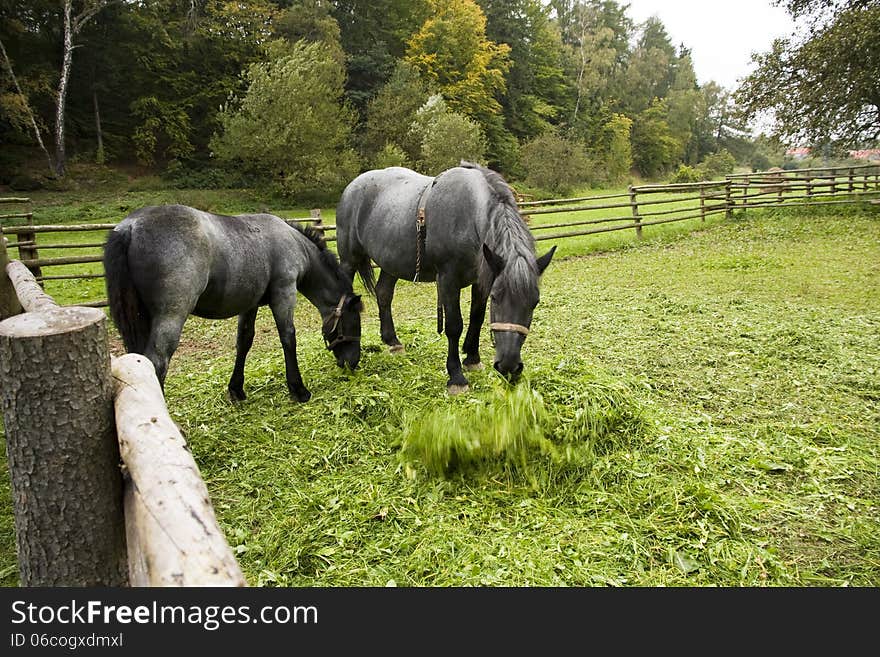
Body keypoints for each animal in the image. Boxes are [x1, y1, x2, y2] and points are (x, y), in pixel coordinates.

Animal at [103, 204, 360, 400]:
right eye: (354, 322)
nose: (353, 362)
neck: (293, 242)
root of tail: (130, 227)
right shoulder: (284, 293)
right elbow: (288, 338)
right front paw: (298, 389)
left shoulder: (250, 304)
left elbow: (244, 341)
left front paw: (236, 389)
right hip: (170, 316)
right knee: (157, 362)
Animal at [336, 161, 556, 392]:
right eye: (496, 298)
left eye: (535, 302)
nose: (509, 366)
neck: (468, 216)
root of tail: (352, 187)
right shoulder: (448, 280)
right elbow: (454, 326)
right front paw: (456, 377)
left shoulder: (481, 279)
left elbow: (476, 317)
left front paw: (472, 359)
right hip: (349, 260)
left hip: (390, 263)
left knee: (384, 293)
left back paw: (392, 342)